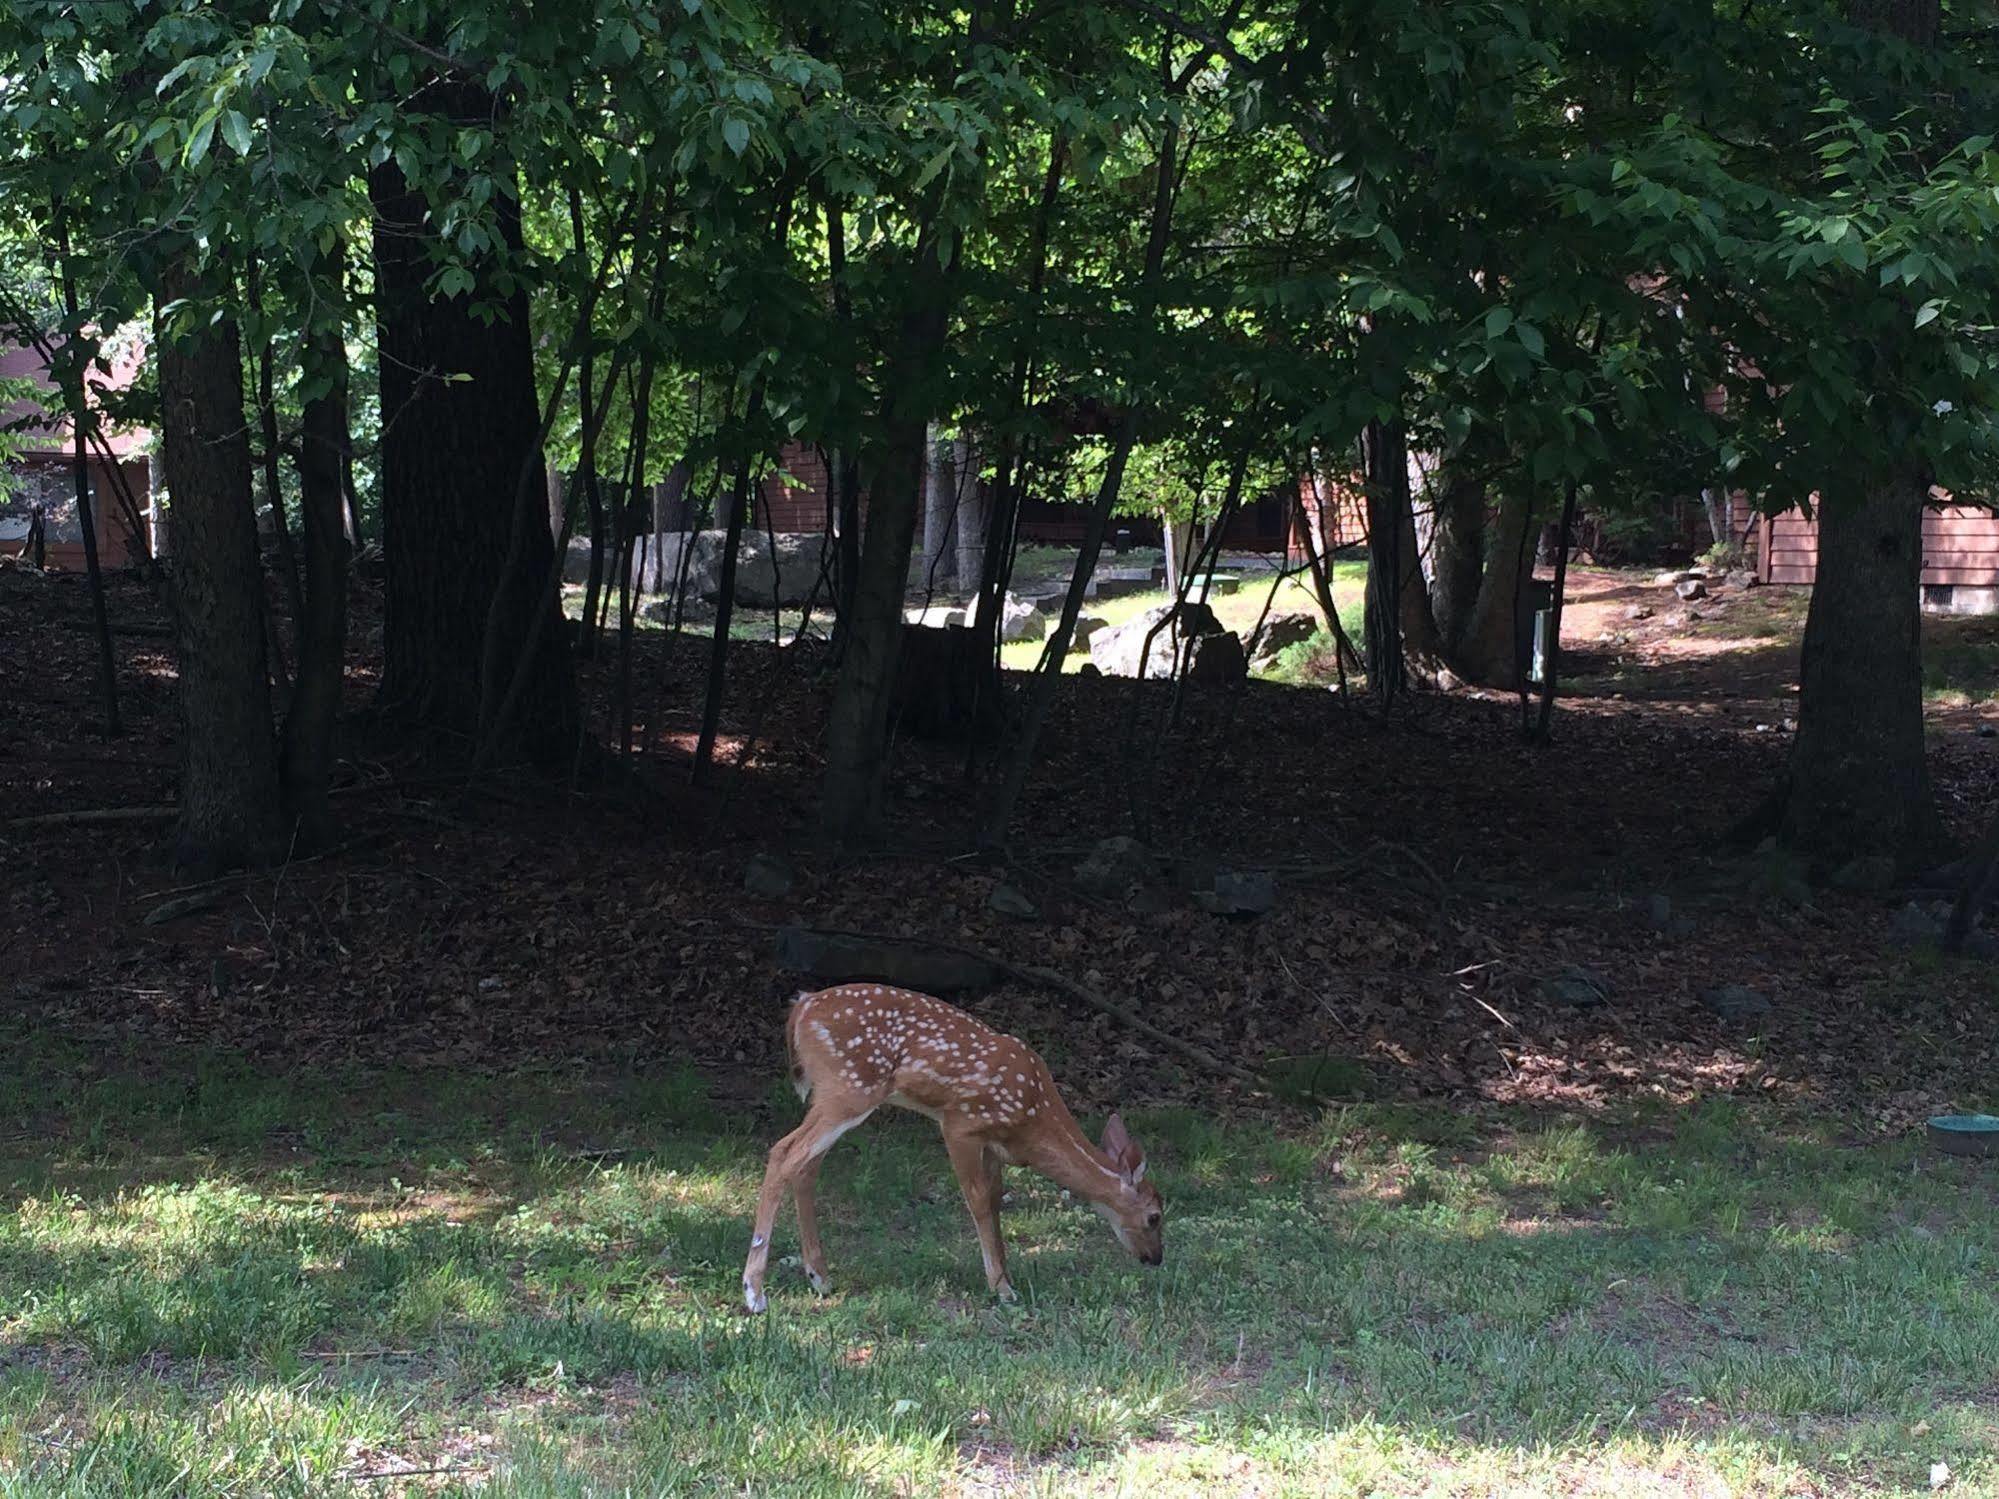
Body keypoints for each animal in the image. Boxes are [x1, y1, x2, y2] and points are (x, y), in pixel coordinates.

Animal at [743, 987, 1167, 1311]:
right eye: (1154, 1217)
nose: (1155, 1259)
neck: (1032, 1119)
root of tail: (801, 1008)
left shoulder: (994, 1148)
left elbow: (995, 1200)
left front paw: (1006, 1275)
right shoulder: (960, 1123)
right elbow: (977, 1200)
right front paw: (1002, 1288)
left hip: (831, 1094)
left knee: (805, 1164)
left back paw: (820, 1277)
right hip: (849, 1088)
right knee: (784, 1152)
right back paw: (754, 1293)